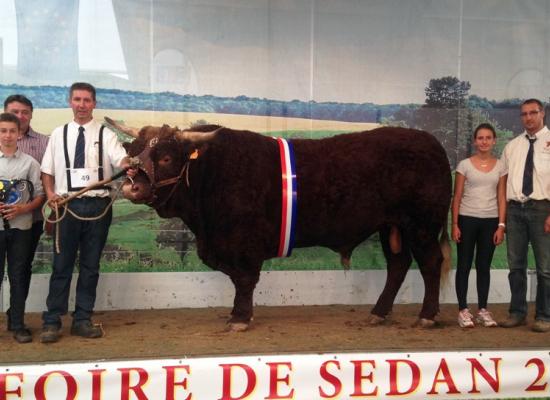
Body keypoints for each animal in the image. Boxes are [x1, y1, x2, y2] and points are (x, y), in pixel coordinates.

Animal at [109, 119, 452, 332]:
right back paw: (378, 313)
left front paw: (239, 317)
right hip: (392, 226)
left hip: (421, 224)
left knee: (430, 263)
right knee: (398, 265)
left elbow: (244, 281)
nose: (131, 188)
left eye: (166, 158)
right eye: (133, 152)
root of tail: (431, 142)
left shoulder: (243, 244)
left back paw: (426, 316)